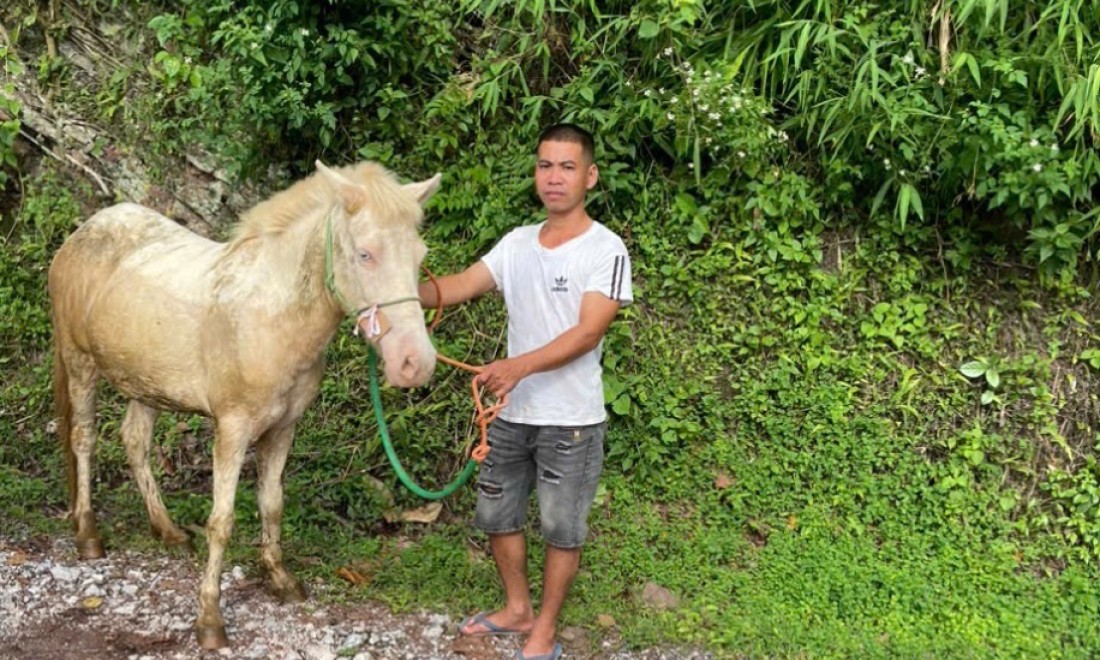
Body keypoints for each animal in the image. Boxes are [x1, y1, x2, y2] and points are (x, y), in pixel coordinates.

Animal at [50, 160, 437, 651]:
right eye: (365, 254)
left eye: (419, 256)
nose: (415, 362)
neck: (272, 315)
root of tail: (84, 232)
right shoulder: (232, 430)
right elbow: (223, 520)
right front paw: (210, 619)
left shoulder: (283, 429)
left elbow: (272, 504)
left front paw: (280, 579)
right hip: (80, 362)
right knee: (84, 439)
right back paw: (88, 534)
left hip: (146, 383)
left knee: (135, 441)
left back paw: (167, 530)